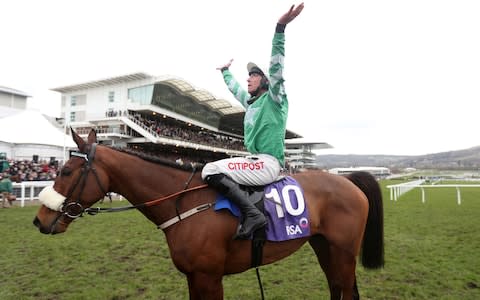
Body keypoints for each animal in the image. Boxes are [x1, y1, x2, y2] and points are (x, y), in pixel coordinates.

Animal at [31, 129, 384, 300]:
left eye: (65, 170)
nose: (39, 220)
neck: (183, 202)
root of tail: (348, 179)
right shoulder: (193, 276)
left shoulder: (210, 277)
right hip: (323, 245)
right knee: (338, 287)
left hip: (343, 251)